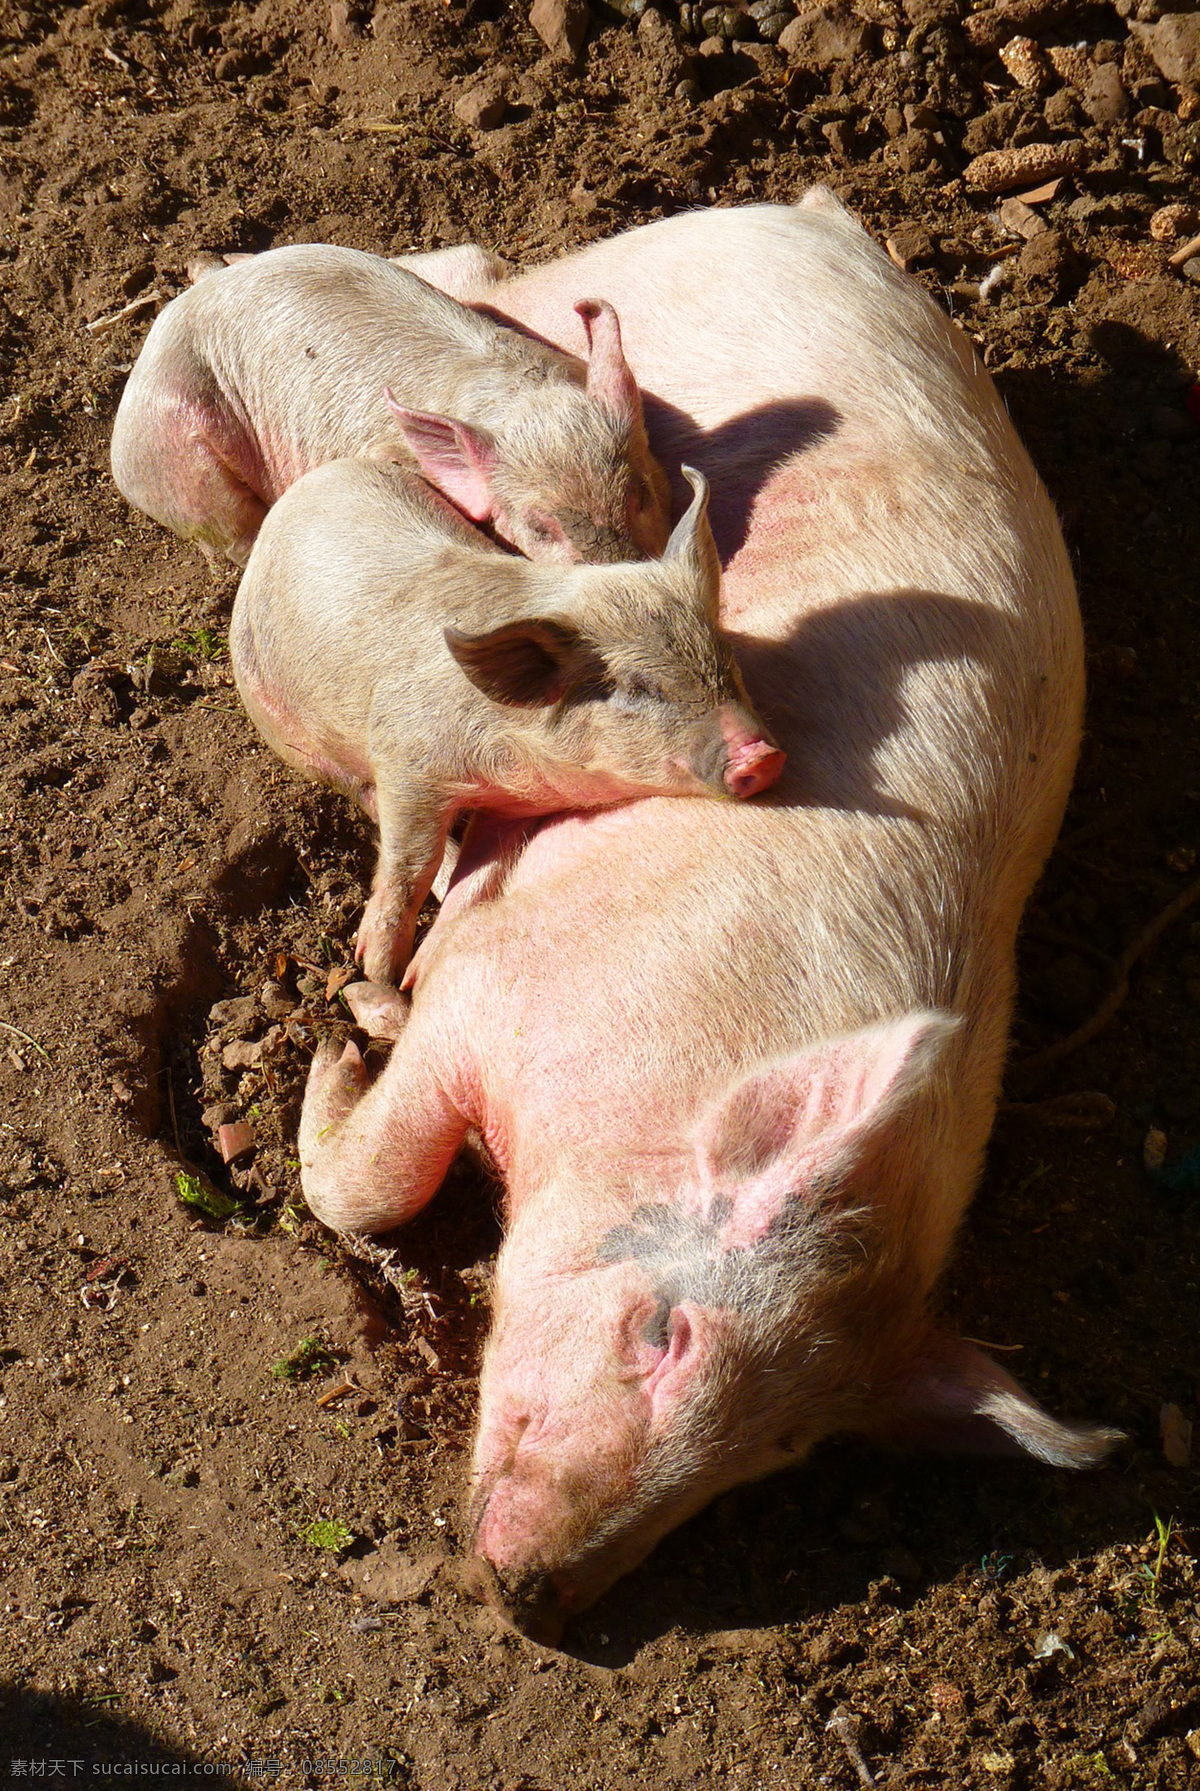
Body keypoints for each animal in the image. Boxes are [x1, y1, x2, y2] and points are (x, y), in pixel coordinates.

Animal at [230, 453, 784, 983]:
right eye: (637, 687)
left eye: (724, 661)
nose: (761, 755)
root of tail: (298, 491)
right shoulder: (405, 754)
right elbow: (412, 860)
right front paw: (379, 973)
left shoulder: (506, 810)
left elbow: (477, 877)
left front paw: (414, 974)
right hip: (285, 726)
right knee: (363, 796)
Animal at [295, 192, 1121, 1641]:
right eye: (662, 1331)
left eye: (774, 1455)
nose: (537, 1599)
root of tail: (803, 213)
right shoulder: (497, 995)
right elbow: (377, 1177)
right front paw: (342, 1030)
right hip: (598, 291)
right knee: (489, 277)